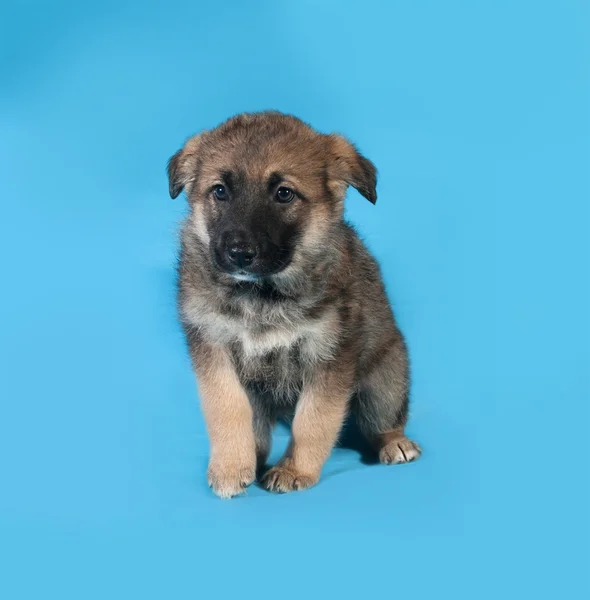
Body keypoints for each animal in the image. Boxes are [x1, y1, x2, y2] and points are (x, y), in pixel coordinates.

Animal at [169, 111, 424, 496]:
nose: (239, 253)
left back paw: (394, 441)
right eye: (220, 191)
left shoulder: (329, 357)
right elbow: (227, 408)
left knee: (382, 419)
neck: (262, 296)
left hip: (385, 380)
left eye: (284, 193)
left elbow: (314, 419)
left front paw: (294, 470)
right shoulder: (214, 349)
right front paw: (230, 466)